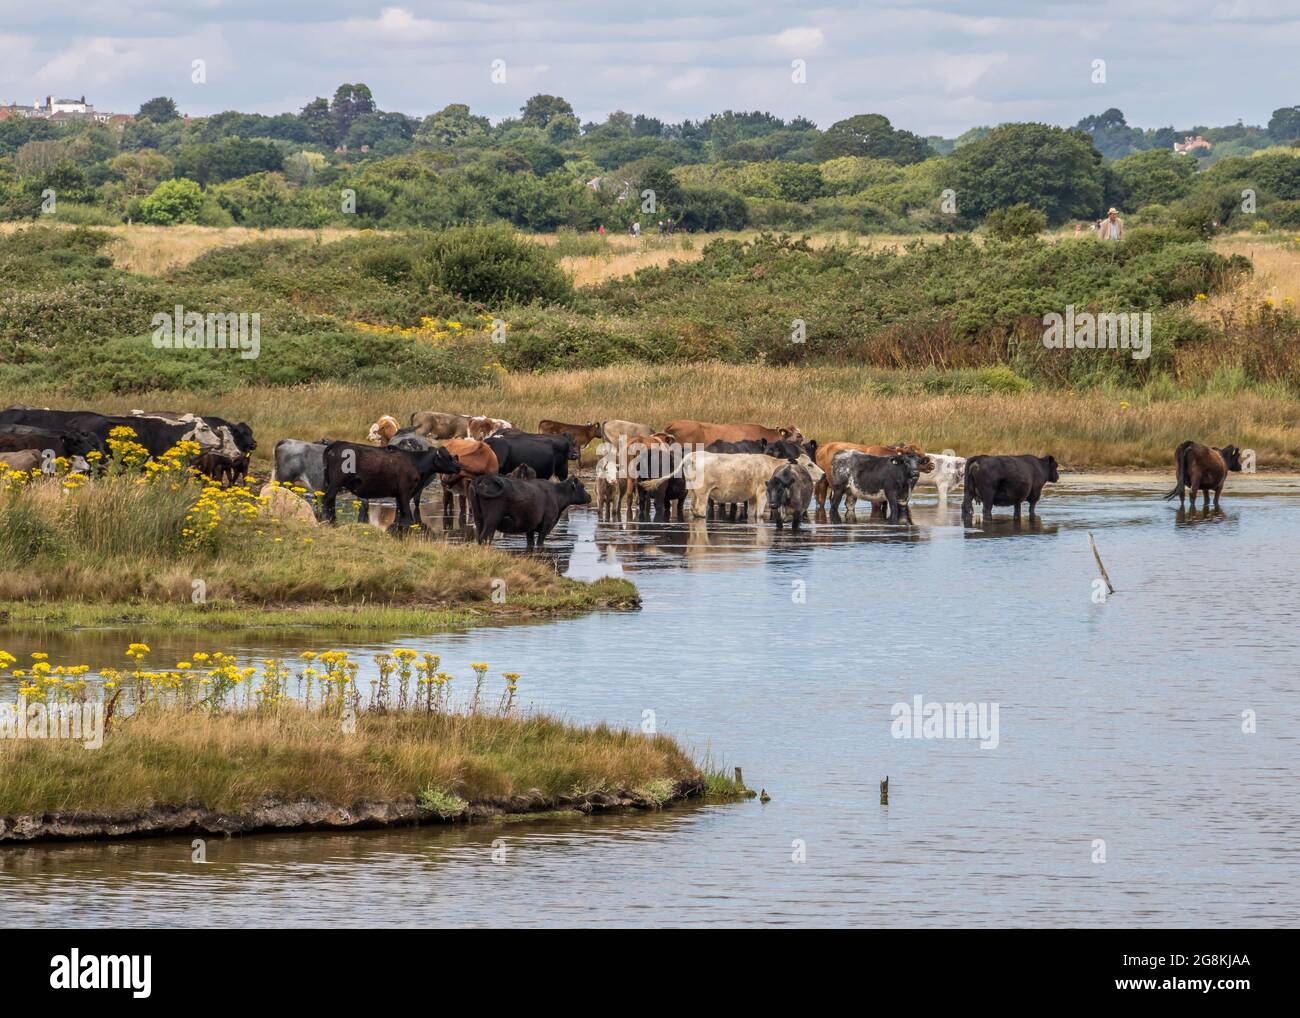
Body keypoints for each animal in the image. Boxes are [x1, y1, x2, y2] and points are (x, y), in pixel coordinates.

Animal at [321, 442, 460, 530]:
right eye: (448, 457)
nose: (459, 467)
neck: (415, 462)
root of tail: (337, 444)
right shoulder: (405, 493)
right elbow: (407, 514)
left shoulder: (399, 495)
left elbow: (400, 514)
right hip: (335, 484)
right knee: (327, 499)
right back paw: (327, 519)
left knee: (330, 501)